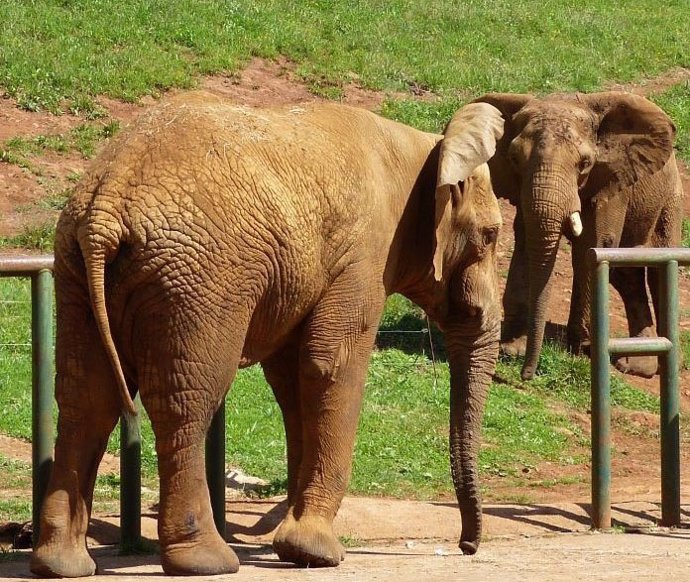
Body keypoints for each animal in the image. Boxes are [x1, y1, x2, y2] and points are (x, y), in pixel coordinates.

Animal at [30, 92, 506, 580]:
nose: (466, 546)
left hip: (75, 270)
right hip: (200, 279)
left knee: (87, 398)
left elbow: (291, 376)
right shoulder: (364, 255)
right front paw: (316, 552)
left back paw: (61, 564)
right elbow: (331, 364)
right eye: (491, 236)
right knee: (187, 400)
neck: (424, 145)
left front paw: (293, 545)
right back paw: (207, 561)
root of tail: (106, 205)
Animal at [470, 92, 680, 384]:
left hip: (670, 199)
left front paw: (580, 352)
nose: (524, 375)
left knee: (656, 271)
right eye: (514, 158)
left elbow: (593, 246)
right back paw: (637, 364)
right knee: (626, 274)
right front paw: (512, 349)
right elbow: (526, 240)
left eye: (585, 164)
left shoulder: (610, 183)